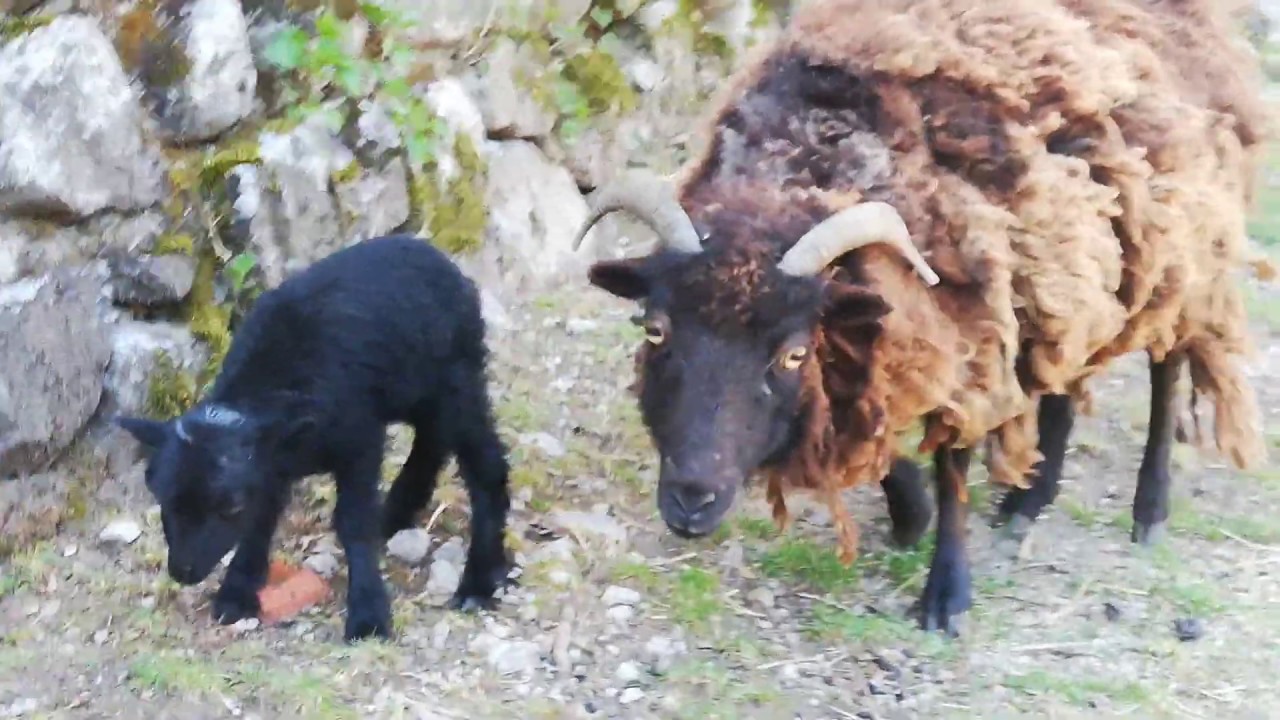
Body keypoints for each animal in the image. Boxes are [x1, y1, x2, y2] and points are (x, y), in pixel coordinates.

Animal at [115, 234, 512, 642]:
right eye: (165, 500)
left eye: (230, 508)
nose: (184, 572)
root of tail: (438, 258)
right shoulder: (269, 464)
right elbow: (262, 518)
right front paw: (237, 591)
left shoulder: (359, 441)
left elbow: (352, 522)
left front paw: (368, 614)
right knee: (433, 440)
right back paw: (399, 511)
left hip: (457, 381)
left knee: (485, 465)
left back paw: (479, 580)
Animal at [570, 0, 1268, 634]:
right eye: (655, 329)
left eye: (793, 353)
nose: (693, 499)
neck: (821, 151)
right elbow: (871, 427)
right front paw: (910, 513)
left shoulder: (966, 329)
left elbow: (950, 462)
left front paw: (946, 593)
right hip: (1069, 266)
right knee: (1062, 374)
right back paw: (1029, 497)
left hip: (1176, 249)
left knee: (1167, 368)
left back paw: (1149, 509)